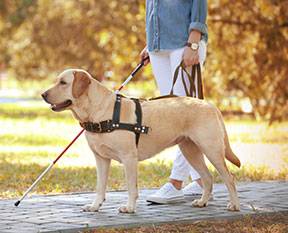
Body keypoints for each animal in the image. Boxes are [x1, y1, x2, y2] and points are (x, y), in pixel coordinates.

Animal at [41, 68, 241, 213]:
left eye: (63, 83)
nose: (43, 94)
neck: (99, 111)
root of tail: (210, 105)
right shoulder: (101, 159)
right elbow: (100, 187)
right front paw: (95, 206)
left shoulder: (129, 158)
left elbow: (131, 187)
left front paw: (129, 208)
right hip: (190, 150)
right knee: (207, 178)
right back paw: (202, 202)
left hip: (211, 149)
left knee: (229, 178)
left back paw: (234, 205)